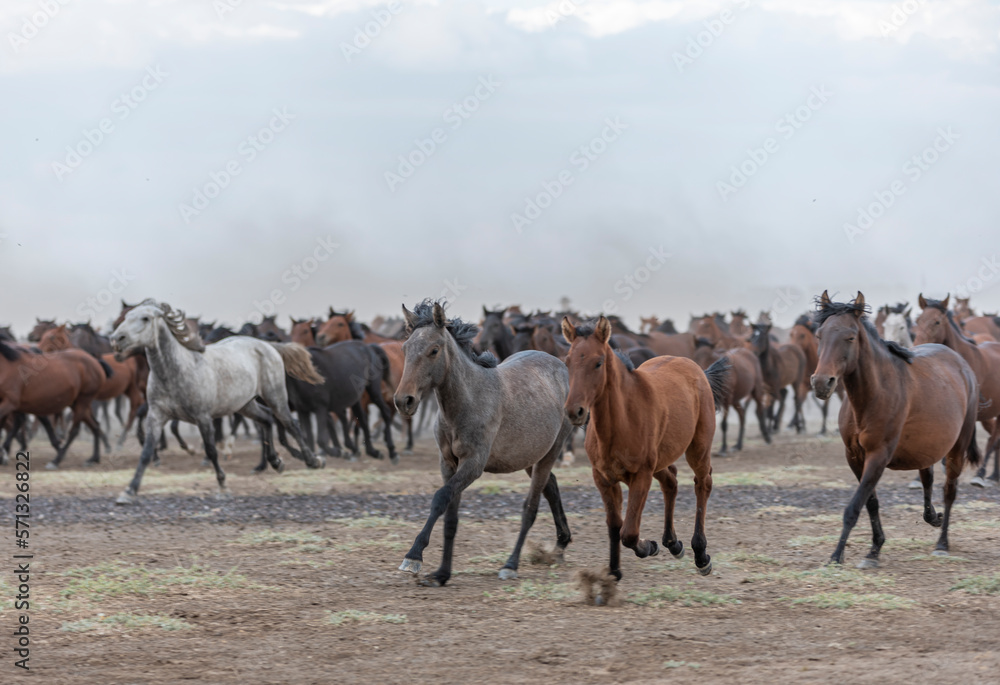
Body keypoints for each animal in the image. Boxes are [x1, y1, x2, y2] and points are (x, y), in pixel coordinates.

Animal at [113, 300, 324, 502]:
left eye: (146, 318)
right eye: (126, 317)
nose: (116, 339)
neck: (176, 371)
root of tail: (268, 346)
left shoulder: (203, 417)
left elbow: (211, 450)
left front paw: (223, 488)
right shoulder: (156, 415)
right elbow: (146, 452)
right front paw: (128, 491)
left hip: (275, 396)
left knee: (290, 424)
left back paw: (313, 461)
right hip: (245, 404)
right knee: (266, 419)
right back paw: (276, 462)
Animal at [394, 302, 576, 584]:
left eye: (434, 350)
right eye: (405, 348)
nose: (404, 400)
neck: (469, 401)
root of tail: (560, 364)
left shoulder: (473, 464)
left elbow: (440, 498)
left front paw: (413, 556)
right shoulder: (448, 464)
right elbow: (450, 516)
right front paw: (442, 574)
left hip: (550, 452)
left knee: (531, 507)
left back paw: (511, 564)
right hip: (529, 455)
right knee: (552, 486)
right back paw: (560, 544)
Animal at [564, 312, 728, 580]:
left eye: (598, 363)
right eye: (567, 361)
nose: (574, 411)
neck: (621, 423)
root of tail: (696, 367)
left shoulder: (641, 475)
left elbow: (629, 532)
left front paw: (649, 546)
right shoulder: (603, 478)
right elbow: (614, 526)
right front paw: (614, 571)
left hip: (698, 449)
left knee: (702, 484)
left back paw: (700, 554)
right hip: (661, 459)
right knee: (671, 482)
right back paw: (673, 543)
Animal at [808, 292, 980, 564]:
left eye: (850, 337)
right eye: (819, 335)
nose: (822, 383)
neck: (873, 394)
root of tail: (961, 362)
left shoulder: (879, 454)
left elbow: (854, 506)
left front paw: (837, 555)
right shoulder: (854, 456)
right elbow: (870, 502)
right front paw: (875, 548)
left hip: (957, 447)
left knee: (949, 490)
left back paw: (942, 543)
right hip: (926, 446)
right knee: (927, 478)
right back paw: (932, 516)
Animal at [916, 294, 1000, 486]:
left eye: (937, 322)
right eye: (917, 320)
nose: (915, 347)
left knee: (993, 440)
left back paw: (981, 474)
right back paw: (994, 475)